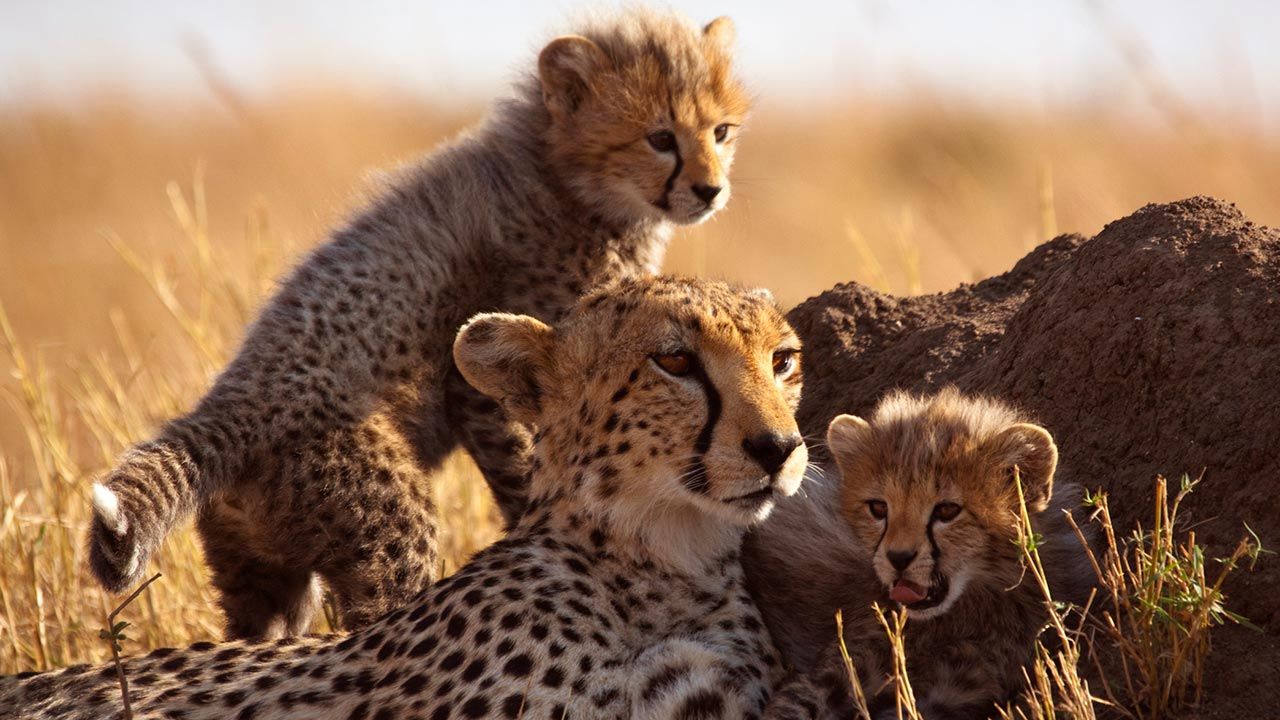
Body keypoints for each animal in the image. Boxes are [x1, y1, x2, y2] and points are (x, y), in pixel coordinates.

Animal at [86, 8, 751, 640]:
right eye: (660, 138)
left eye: (721, 132)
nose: (711, 190)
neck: (559, 174)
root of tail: (228, 403)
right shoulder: (484, 380)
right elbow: (528, 464)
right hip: (386, 526)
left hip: (263, 576)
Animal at [750, 388, 1096, 720]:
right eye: (879, 508)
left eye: (947, 510)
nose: (898, 558)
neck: (961, 613)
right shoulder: (838, 672)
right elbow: (791, 706)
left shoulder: (955, 690)